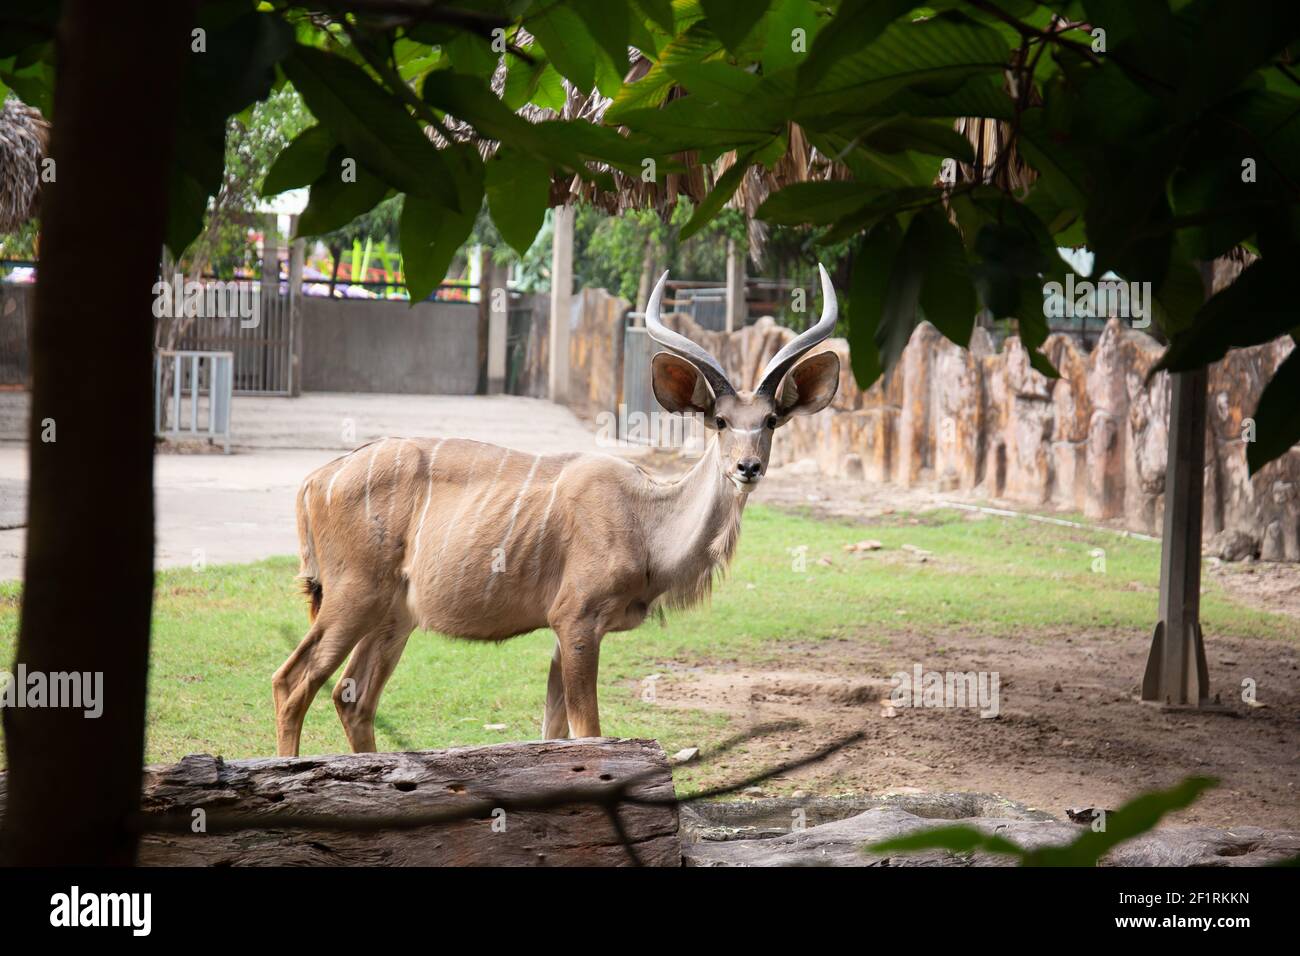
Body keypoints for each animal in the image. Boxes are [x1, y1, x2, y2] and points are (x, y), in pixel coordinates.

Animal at [272, 265, 842, 756]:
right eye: (720, 421)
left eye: (771, 420)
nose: (748, 467)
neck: (645, 522)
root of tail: (315, 480)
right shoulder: (577, 620)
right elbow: (588, 732)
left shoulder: (564, 634)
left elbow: (554, 732)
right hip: (352, 596)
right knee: (292, 682)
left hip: (393, 615)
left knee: (352, 696)